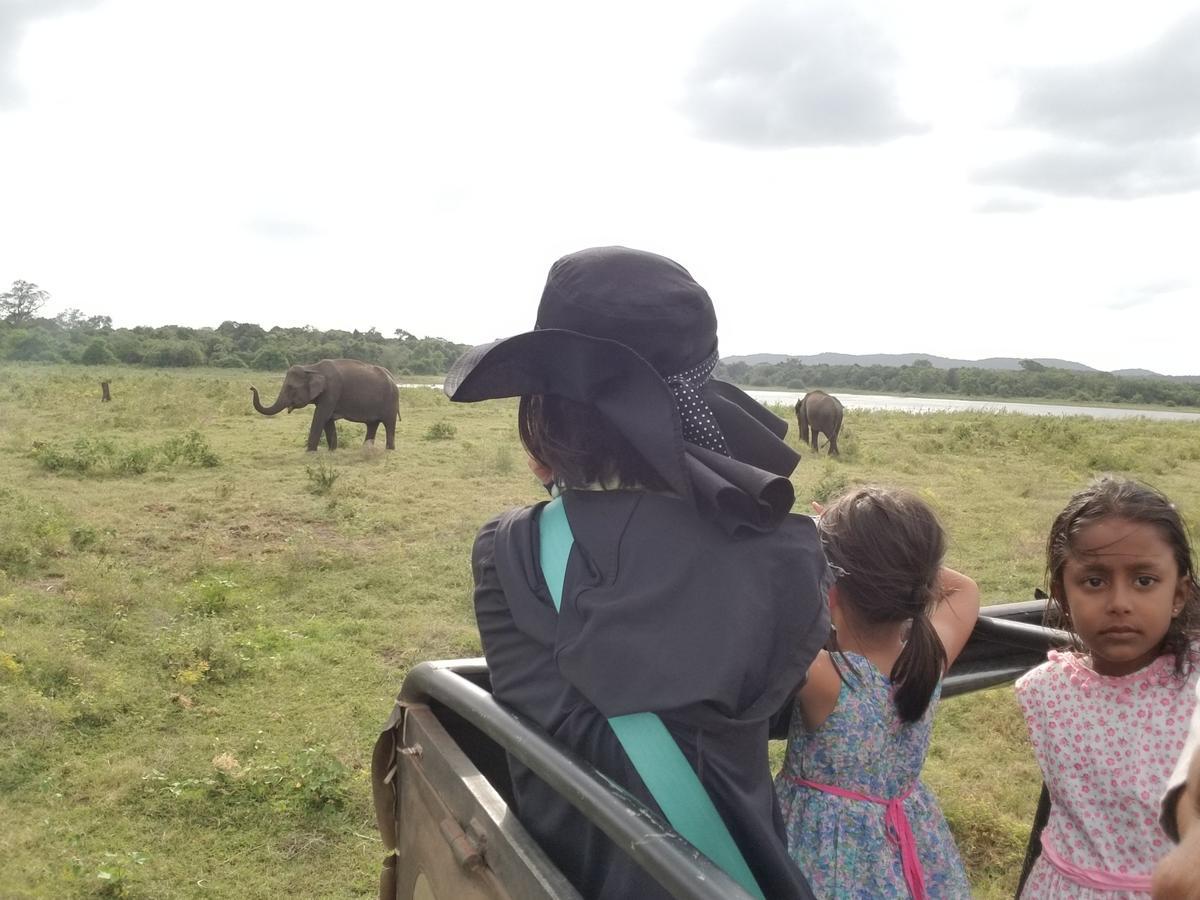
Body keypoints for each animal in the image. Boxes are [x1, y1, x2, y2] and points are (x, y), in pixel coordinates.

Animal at [250, 360, 400, 453]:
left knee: (389, 424)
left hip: (391, 402)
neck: (312, 367)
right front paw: (332, 450)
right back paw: (366, 449)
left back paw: (389, 450)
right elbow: (328, 420)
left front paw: (309, 452)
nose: (251, 387)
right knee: (372, 425)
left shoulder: (331, 392)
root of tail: (393, 378)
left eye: (291, 387)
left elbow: (320, 416)